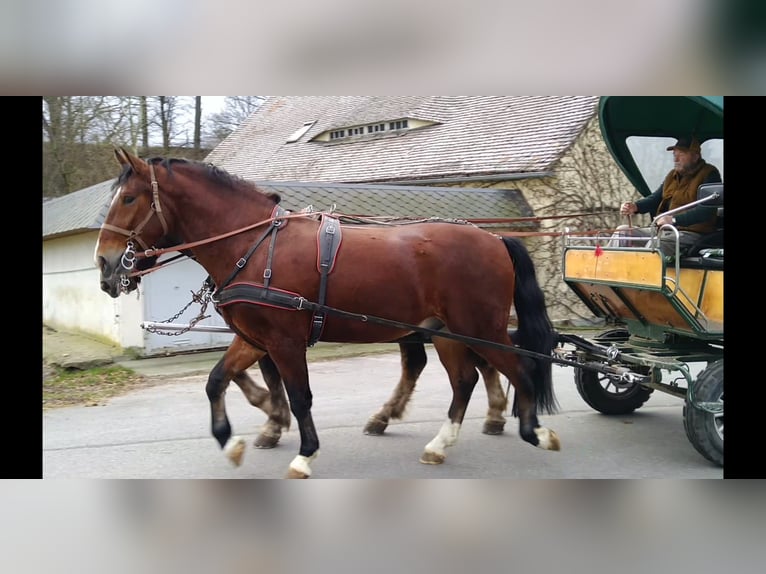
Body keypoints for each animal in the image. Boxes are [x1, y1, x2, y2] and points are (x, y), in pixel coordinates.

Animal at [99, 150, 560, 482]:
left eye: (129, 198)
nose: (105, 264)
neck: (254, 245)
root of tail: (495, 238)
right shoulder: (254, 339)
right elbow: (217, 382)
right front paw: (231, 441)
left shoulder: (284, 341)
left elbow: (299, 396)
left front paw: (305, 454)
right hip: (447, 331)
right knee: (464, 380)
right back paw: (440, 443)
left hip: (481, 327)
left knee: (519, 367)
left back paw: (534, 430)